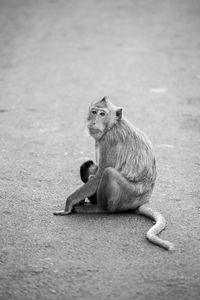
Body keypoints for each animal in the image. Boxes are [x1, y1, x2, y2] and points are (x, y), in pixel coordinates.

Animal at [54, 96, 174, 251]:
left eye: (102, 114)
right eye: (94, 112)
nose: (94, 121)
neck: (112, 126)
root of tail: (144, 200)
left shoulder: (109, 140)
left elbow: (100, 174)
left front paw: (69, 203)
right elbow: (93, 170)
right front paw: (79, 199)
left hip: (129, 196)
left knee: (109, 173)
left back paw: (99, 209)